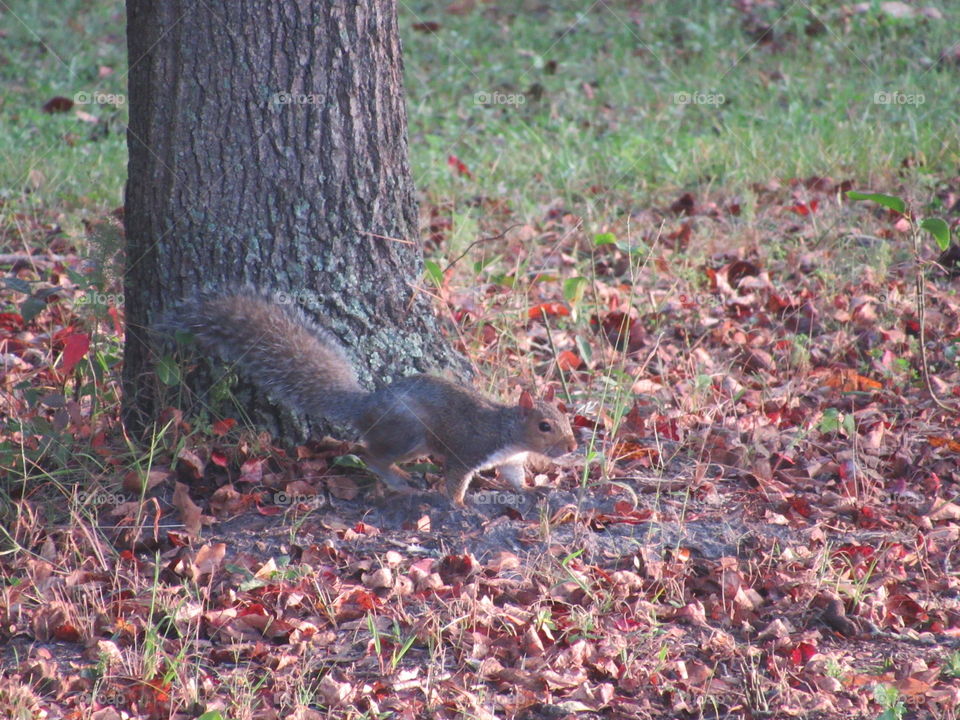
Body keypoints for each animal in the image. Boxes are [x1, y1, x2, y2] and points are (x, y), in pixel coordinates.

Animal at [167, 292, 578, 506]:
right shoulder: (469, 449)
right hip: (408, 433)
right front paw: (459, 505)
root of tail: (365, 405)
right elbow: (456, 479)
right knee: (370, 455)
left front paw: (531, 489)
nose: (573, 447)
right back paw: (400, 481)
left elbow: (514, 477)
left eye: (565, 417)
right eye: (545, 426)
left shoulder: (509, 460)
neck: (508, 431)